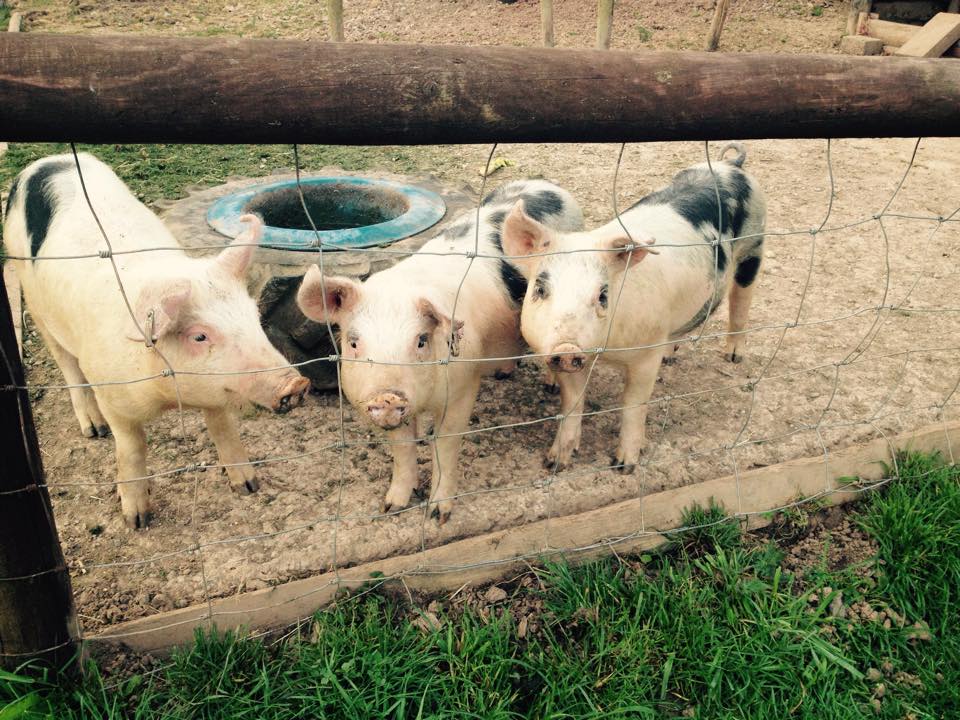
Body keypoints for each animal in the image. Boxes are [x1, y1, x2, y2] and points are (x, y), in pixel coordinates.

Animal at [3, 153, 310, 528]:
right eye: (199, 335)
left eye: (253, 317)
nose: (296, 383)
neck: (165, 396)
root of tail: (45, 162)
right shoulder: (111, 393)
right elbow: (132, 448)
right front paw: (137, 521)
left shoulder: (216, 389)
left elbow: (222, 427)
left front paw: (249, 486)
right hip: (34, 300)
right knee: (67, 364)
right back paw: (94, 431)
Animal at [297, 179, 583, 523]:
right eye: (353, 342)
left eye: (421, 340)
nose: (387, 397)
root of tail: (546, 185)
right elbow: (403, 449)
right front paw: (391, 507)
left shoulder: (462, 387)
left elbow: (445, 444)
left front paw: (438, 515)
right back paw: (502, 374)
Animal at [501, 144, 766, 473]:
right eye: (539, 289)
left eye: (603, 295)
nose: (566, 346)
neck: (605, 352)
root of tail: (732, 165)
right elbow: (573, 403)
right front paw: (555, 463)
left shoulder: (645, 353)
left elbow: (633, 405)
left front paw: (623, 465)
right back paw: (671, 356)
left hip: (754, 246)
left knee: (741, 304)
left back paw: (733, 357)